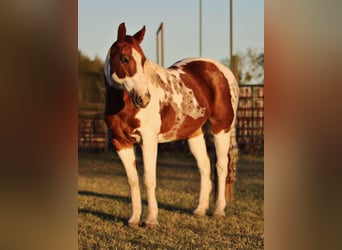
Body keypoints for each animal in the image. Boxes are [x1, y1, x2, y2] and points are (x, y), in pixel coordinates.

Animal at [103, 22, 239, 228]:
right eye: (124, 59)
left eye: (143, 60)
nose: (144, 99)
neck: (124, 105)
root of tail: (224, 71)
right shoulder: (121, 143)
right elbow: (133, 180)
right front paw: (134, 219)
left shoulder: (148, 141)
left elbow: (149, 179)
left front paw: (151, 220)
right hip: (194, 133)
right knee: (204, 166)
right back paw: (200, 210)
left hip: (221, 128)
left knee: (221, 166)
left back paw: (218, 211)